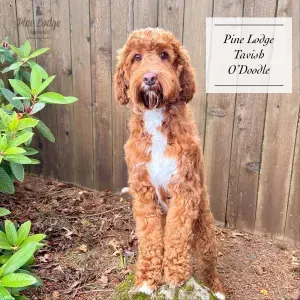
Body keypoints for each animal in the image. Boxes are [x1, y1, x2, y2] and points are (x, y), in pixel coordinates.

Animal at [113, 27, 224, 298]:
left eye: (164, 54)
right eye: (137, 57)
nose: (150, 78)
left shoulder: (184, 187)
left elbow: (177, 235)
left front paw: (175, 274)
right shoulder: (143, 191)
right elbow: (151, 237)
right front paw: (147, 278)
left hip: (205, 231)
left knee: (208, 263)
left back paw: (216, 288)